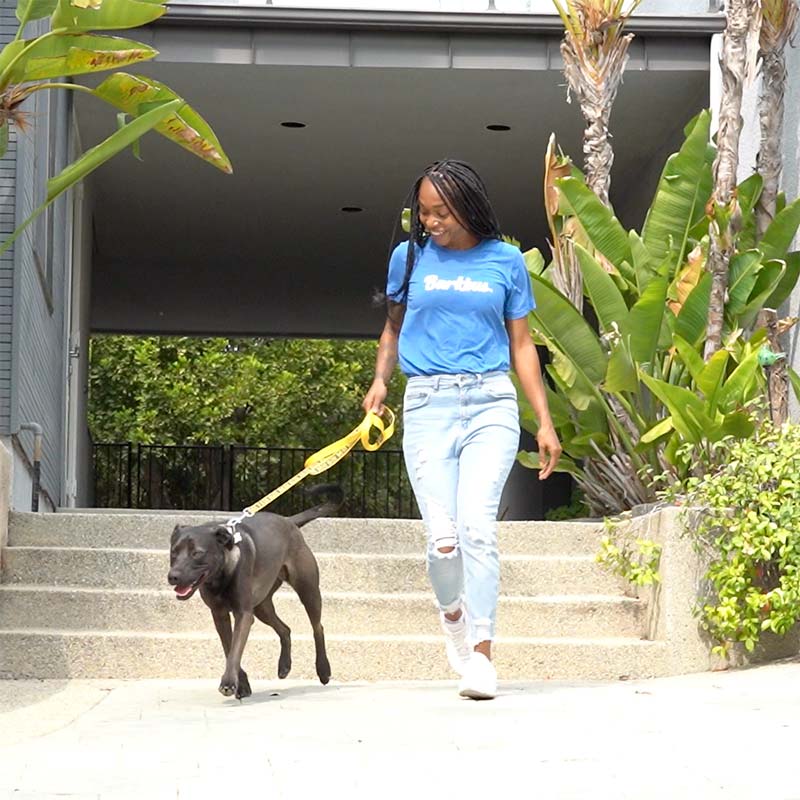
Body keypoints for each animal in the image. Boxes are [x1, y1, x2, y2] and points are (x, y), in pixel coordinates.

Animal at [169, 484, 340, 696]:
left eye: (197, 553)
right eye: (173, 552)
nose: (172, 576)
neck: (220, 575)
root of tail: (289, 521)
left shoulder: (243, 614)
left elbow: (235, 649)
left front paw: (229, 683)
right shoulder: (220, 615)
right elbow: (229, 648)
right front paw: (242, 684)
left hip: (308, 591)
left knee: (318, 627)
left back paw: (323, 669)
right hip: (261, 606)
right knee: (285, 629)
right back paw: (284, 666)